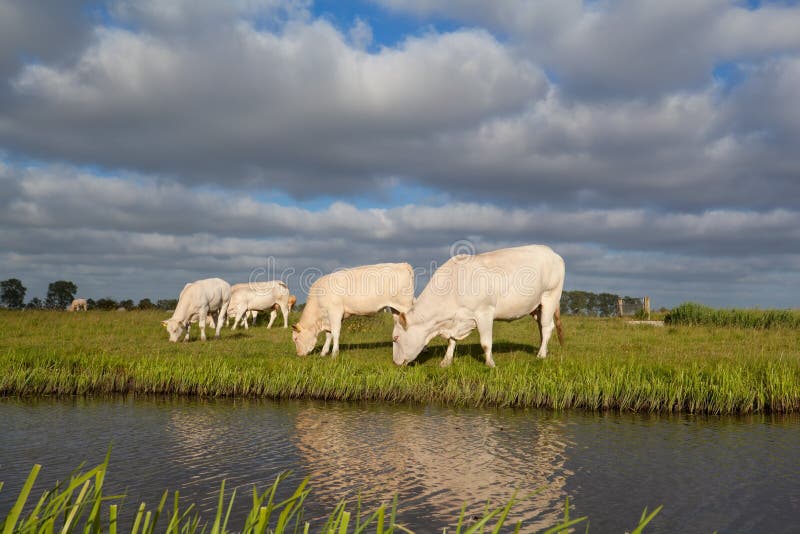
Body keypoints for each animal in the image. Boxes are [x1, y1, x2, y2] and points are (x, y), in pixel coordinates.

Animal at [390, 246, 564, 368]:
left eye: (396, 338)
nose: (395, 362)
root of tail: (551, 252)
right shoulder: (456, 319)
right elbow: (451, 341)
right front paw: (446, 362)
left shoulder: (484, 312)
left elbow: (486, 342)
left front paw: (490, 364)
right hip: (536, 307)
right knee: (541, 327)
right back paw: (543, 350)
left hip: (550, 296)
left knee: (547, 327)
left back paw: (541, 355)